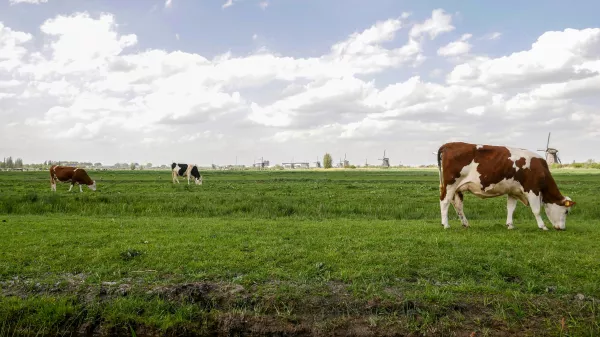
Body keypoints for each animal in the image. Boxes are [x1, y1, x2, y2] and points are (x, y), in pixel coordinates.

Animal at [436, 142, 576, 231]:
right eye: (566, 211)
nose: (562, 229)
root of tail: (449, 144)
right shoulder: (533, 190)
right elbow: (536, 210)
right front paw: (543, 226)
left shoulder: (513, 191)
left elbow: (511, 208)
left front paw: (510, 225)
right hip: (450, 185)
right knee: (444, 202)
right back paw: (446, 224)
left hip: (457, 188)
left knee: (458, 205)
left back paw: (465, 224)